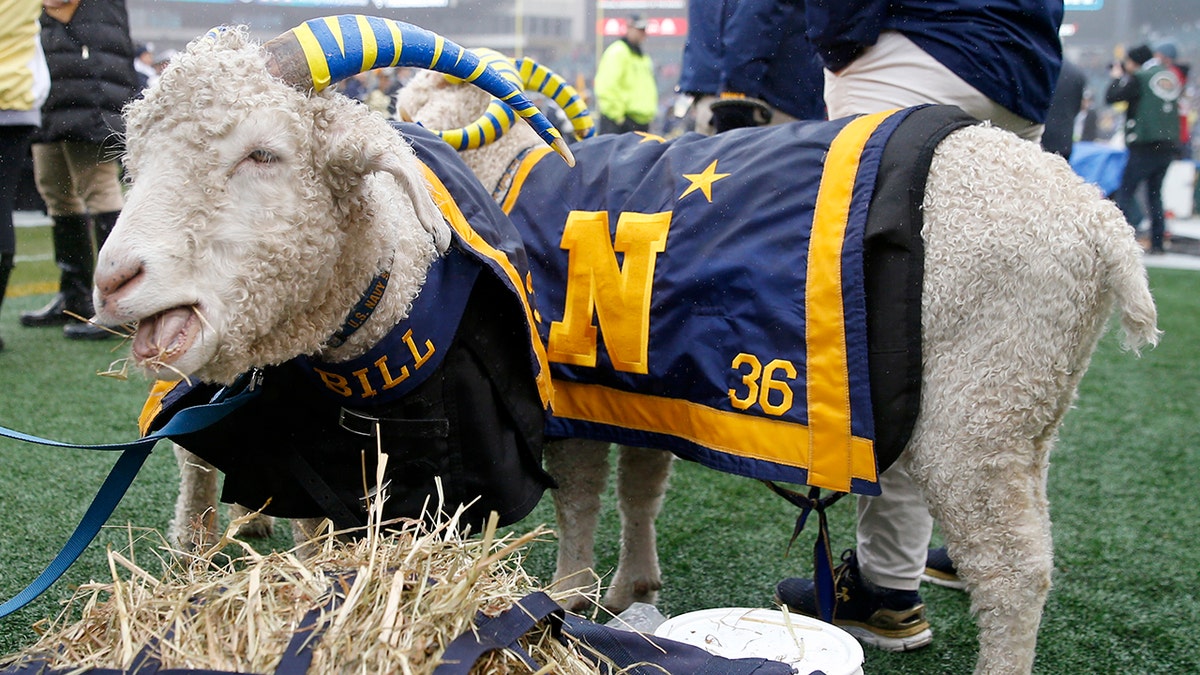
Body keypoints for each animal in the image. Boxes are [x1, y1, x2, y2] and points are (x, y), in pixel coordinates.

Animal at [98, 21, 1156, 672]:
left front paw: (571, 590)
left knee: (1015, 569)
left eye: (264, 152)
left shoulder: (559, 393)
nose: (114, 280)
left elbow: (576, 494)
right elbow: (636, 484)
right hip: (1030, 405)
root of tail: (1100, 223)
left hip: (983, 404)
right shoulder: (627, 388)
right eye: (134, 156)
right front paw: (626, 585)